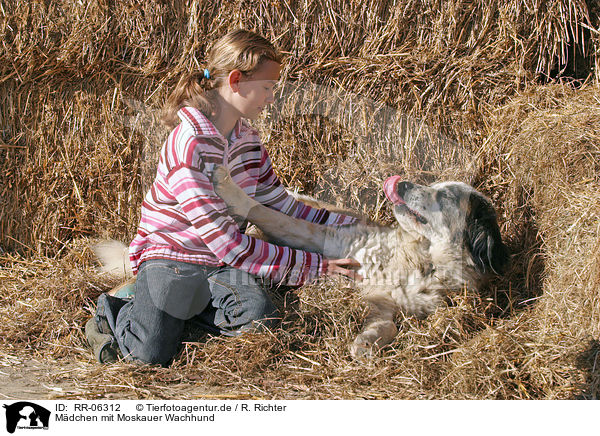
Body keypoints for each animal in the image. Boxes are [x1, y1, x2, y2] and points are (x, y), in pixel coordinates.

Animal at [209, 165, 508, 356]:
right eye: (435, 186)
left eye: (444, 195)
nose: (402, 183)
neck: (418, 258)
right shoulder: (323, 237)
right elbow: (266, 212)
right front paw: (228, 187)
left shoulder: (388, 304)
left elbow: (387, 324)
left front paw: (365, 344)